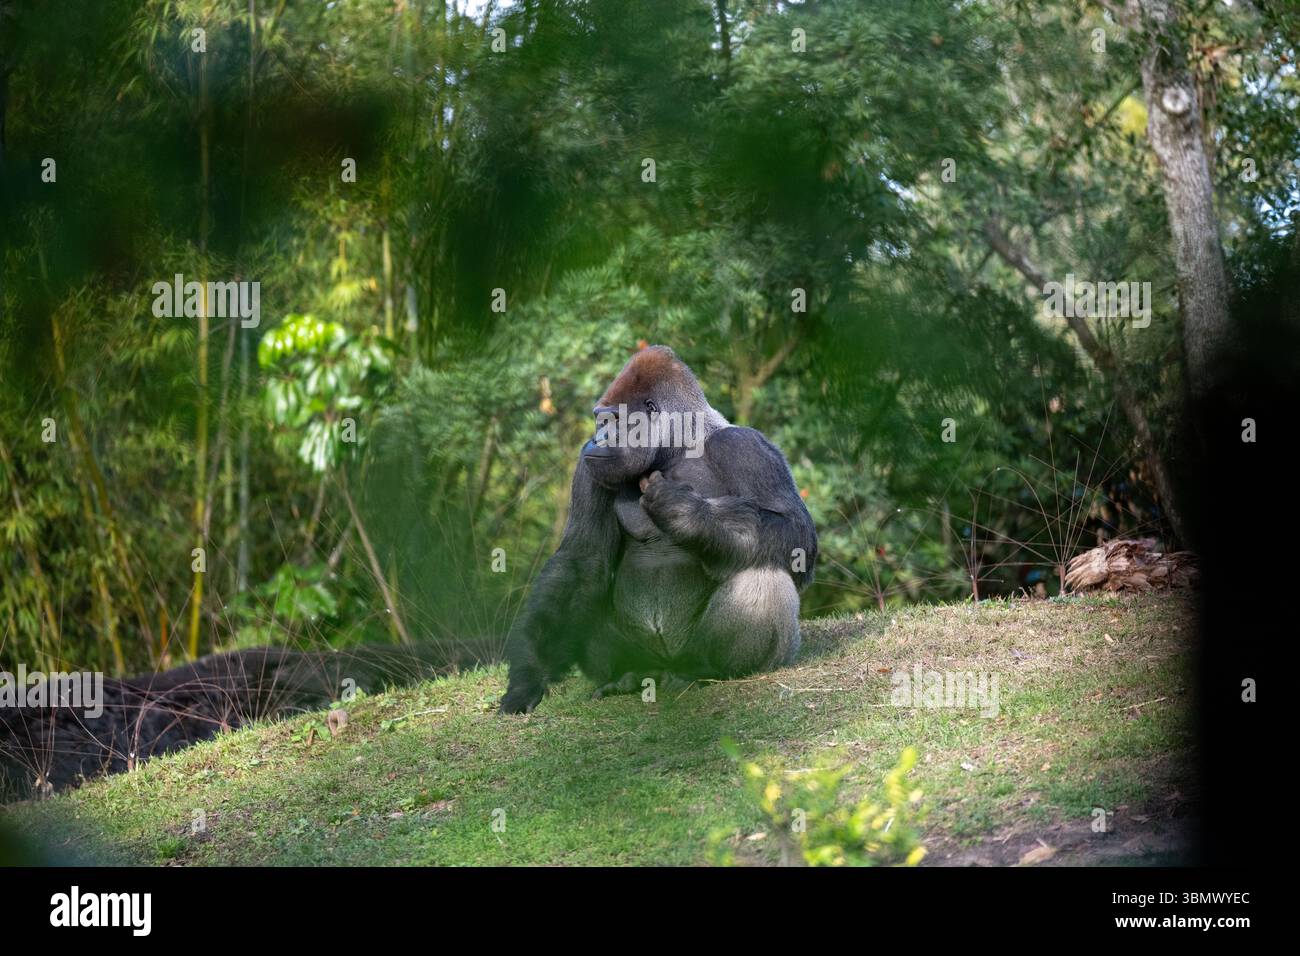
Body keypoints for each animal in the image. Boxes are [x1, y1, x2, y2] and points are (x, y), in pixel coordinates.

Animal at [499, 345, 817, 714]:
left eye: (613, 420)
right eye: (600, 419)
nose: (595, 439)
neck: (678, 447)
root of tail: (664, 668)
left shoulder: (745, 446)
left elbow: (797, 536)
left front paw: (688, 514)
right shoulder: (587, 467)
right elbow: (581, 559)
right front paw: (528, 675)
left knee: (763, 571)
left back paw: (701, 669)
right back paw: (624, 675)